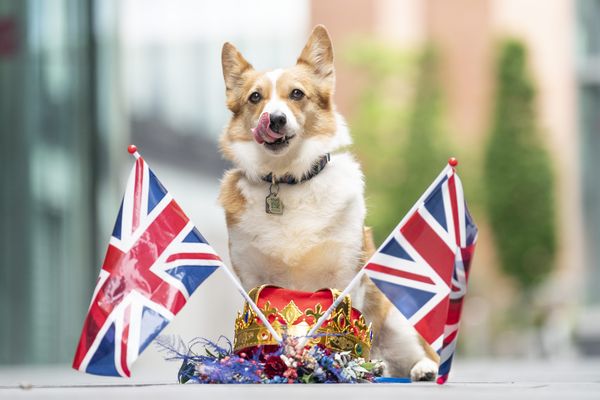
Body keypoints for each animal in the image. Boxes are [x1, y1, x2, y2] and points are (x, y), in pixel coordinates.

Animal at [218, 25, 438, 382]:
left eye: (296, 94)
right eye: (255, 97)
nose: (274, 119)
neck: (287, 180)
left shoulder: (346, 272)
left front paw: (337, 361)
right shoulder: (251, 276)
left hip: (395, 321)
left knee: (412, 355)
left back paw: (417, 369)